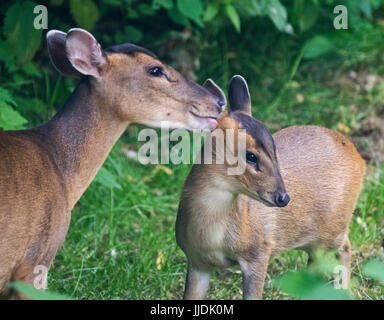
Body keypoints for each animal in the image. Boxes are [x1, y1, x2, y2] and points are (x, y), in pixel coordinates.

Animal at [176, 75, 364, 300]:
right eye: (250, 156)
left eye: (274, 150)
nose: (283, 197)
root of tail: (358, 157)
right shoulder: (197, 260)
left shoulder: (259, 250)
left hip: (332, 229)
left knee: (345, 246)